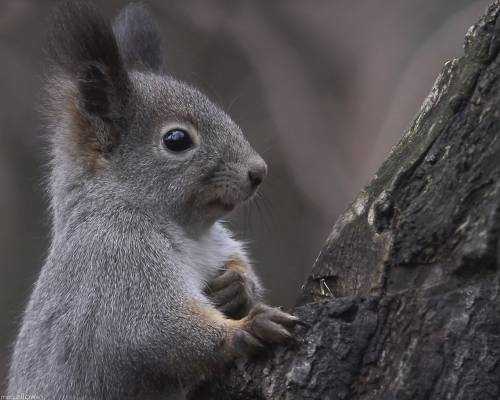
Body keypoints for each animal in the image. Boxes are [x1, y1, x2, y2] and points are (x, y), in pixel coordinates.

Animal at [5, 1, 298, 398]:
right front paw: (245, 330)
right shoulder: (115, 259)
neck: (191, 232)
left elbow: (237, 264)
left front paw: (236, 287)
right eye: (176, 140)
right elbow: (151, 329)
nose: (258, 171)